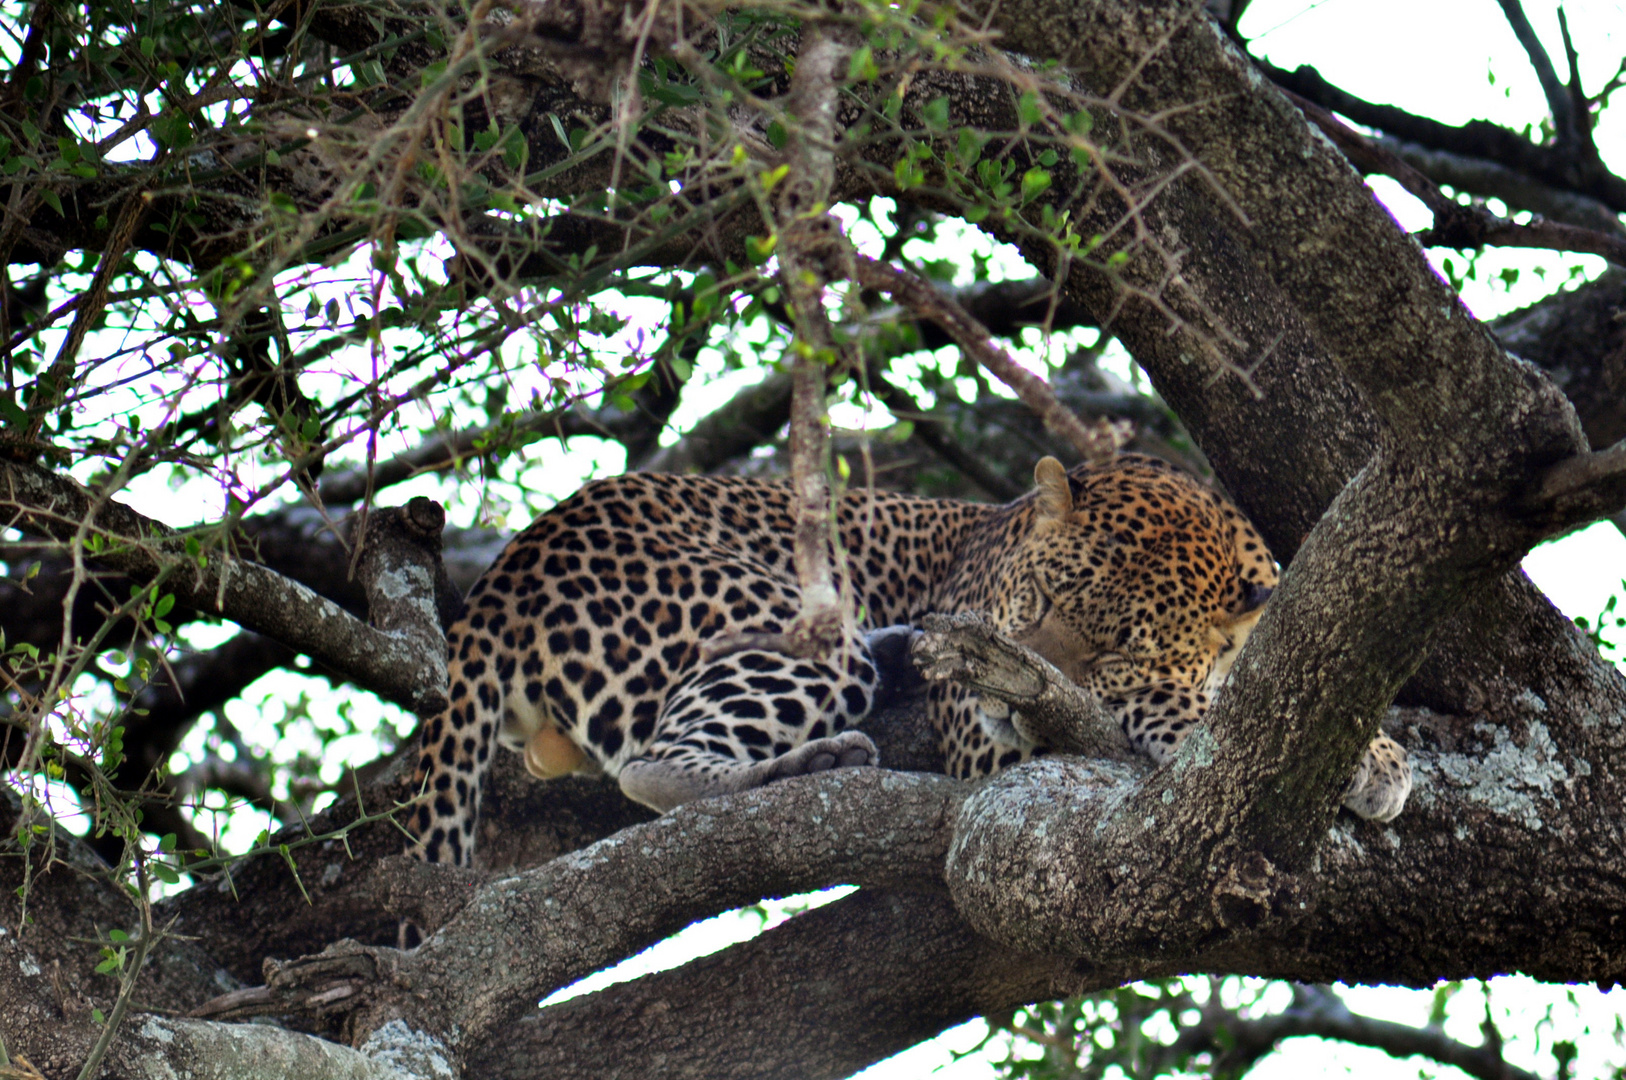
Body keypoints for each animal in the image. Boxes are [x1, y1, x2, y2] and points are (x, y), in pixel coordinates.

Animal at [406, 452, 1411, 865]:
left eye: (1116, 644)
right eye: (1040, 600)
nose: (1007, 679)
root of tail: (509, 566)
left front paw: (1377, 755)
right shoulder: (986, 750)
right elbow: (1183, 714)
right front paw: (1380, 761)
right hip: (785, 626)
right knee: (653, 767)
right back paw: (817, 760)